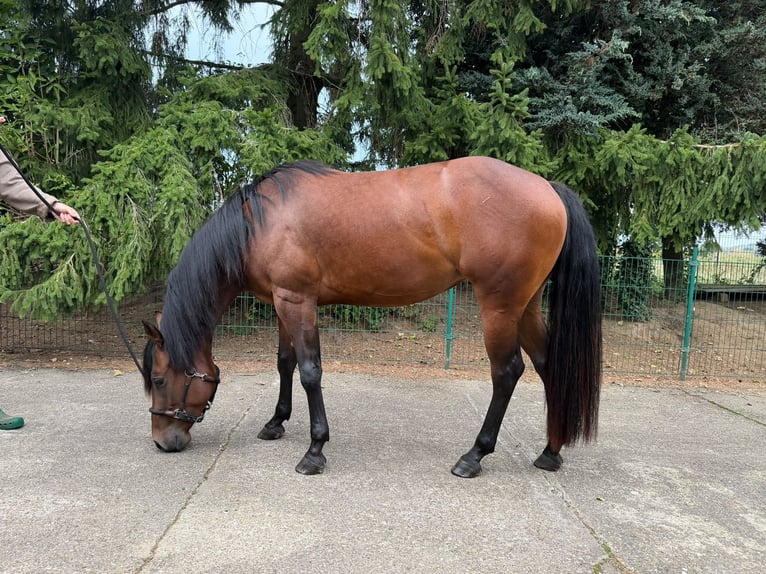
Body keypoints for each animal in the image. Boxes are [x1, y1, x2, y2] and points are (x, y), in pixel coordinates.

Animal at [141, 156, 602, 478]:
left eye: (160, 380)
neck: (260, 222)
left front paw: (314, 451)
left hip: (499, 308)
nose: (163, 441)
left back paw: (474, 455)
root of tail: (546, 187)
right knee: (547, 364)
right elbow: (285, 363)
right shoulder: (282, 302)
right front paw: (276, 423)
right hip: (525, 306)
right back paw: (550, 452)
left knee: (507, 372)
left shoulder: (297, 302)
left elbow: (310, 372)